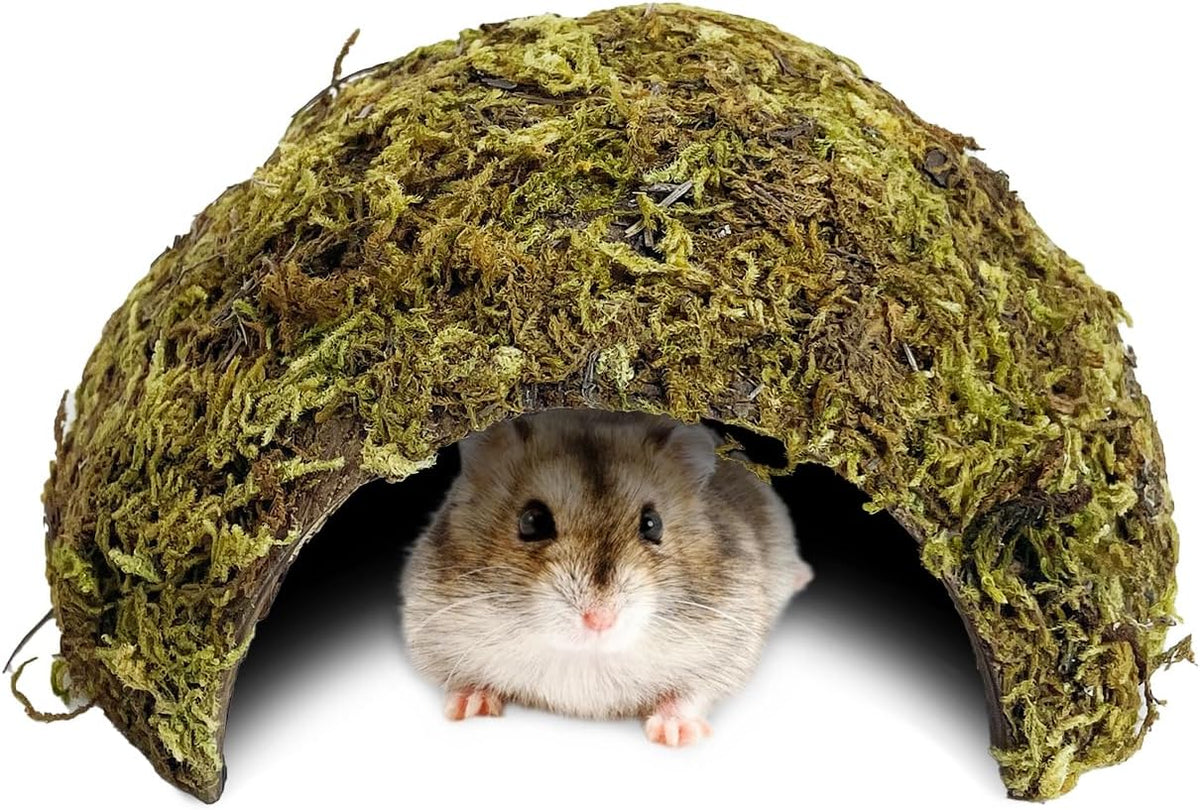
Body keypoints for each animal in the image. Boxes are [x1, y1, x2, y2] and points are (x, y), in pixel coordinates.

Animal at [398, 407, 813, 746]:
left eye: (652, 524)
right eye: (532, 521)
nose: (599, 620)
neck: (583, 658)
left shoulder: (725, 645)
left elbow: (691, 693)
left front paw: (675, 734)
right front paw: (466, 707)